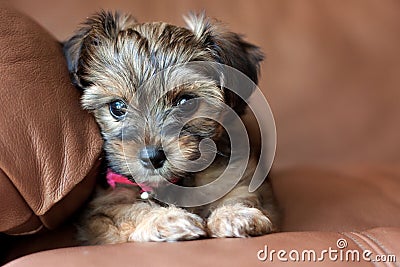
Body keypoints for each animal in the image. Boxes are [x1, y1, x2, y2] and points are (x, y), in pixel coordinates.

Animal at [65, 11, 278, 245]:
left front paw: (234, 213)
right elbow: (129, 209)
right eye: (117, 107)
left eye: (185, 102)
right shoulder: (100, 210)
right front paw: (167, 218)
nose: (151, 157)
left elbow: (239, 192)